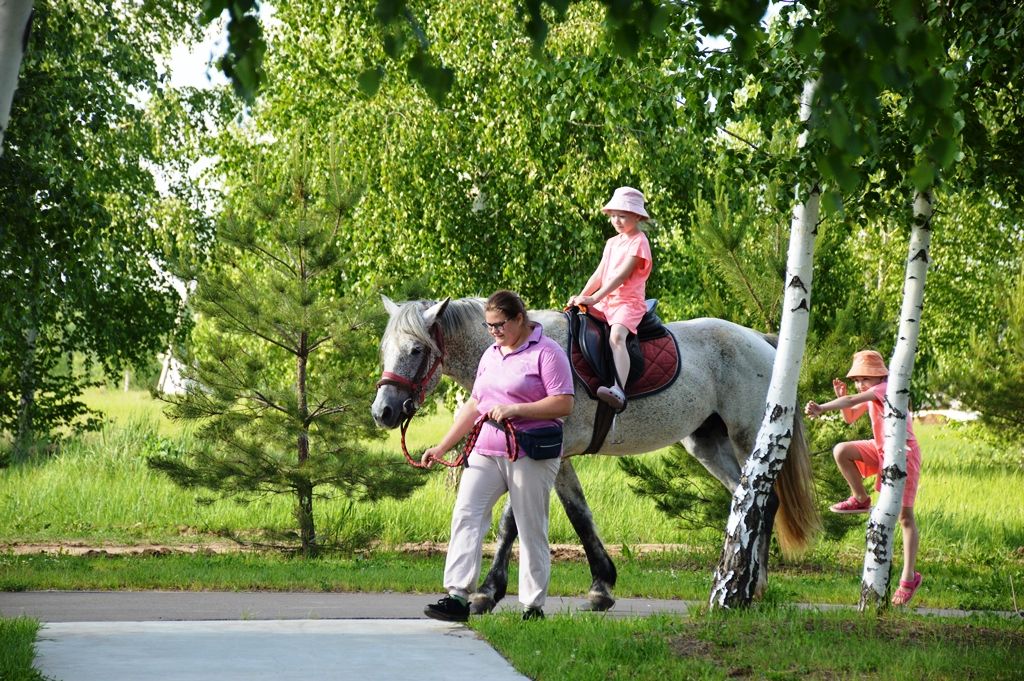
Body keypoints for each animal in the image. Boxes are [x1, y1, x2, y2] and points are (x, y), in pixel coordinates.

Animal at [372, 294, 819, 606]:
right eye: (384, 349)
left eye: (416, 350)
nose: (383, 411)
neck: (520, 350)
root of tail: (762, 341)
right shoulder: (559, 456)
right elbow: (579, 514)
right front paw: (602, 584)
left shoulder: (540, 454)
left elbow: (511, 522)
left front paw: (488, 590)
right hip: (708, 444)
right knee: (744, 501)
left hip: (749, 436)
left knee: (764, 503)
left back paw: (755, 585)